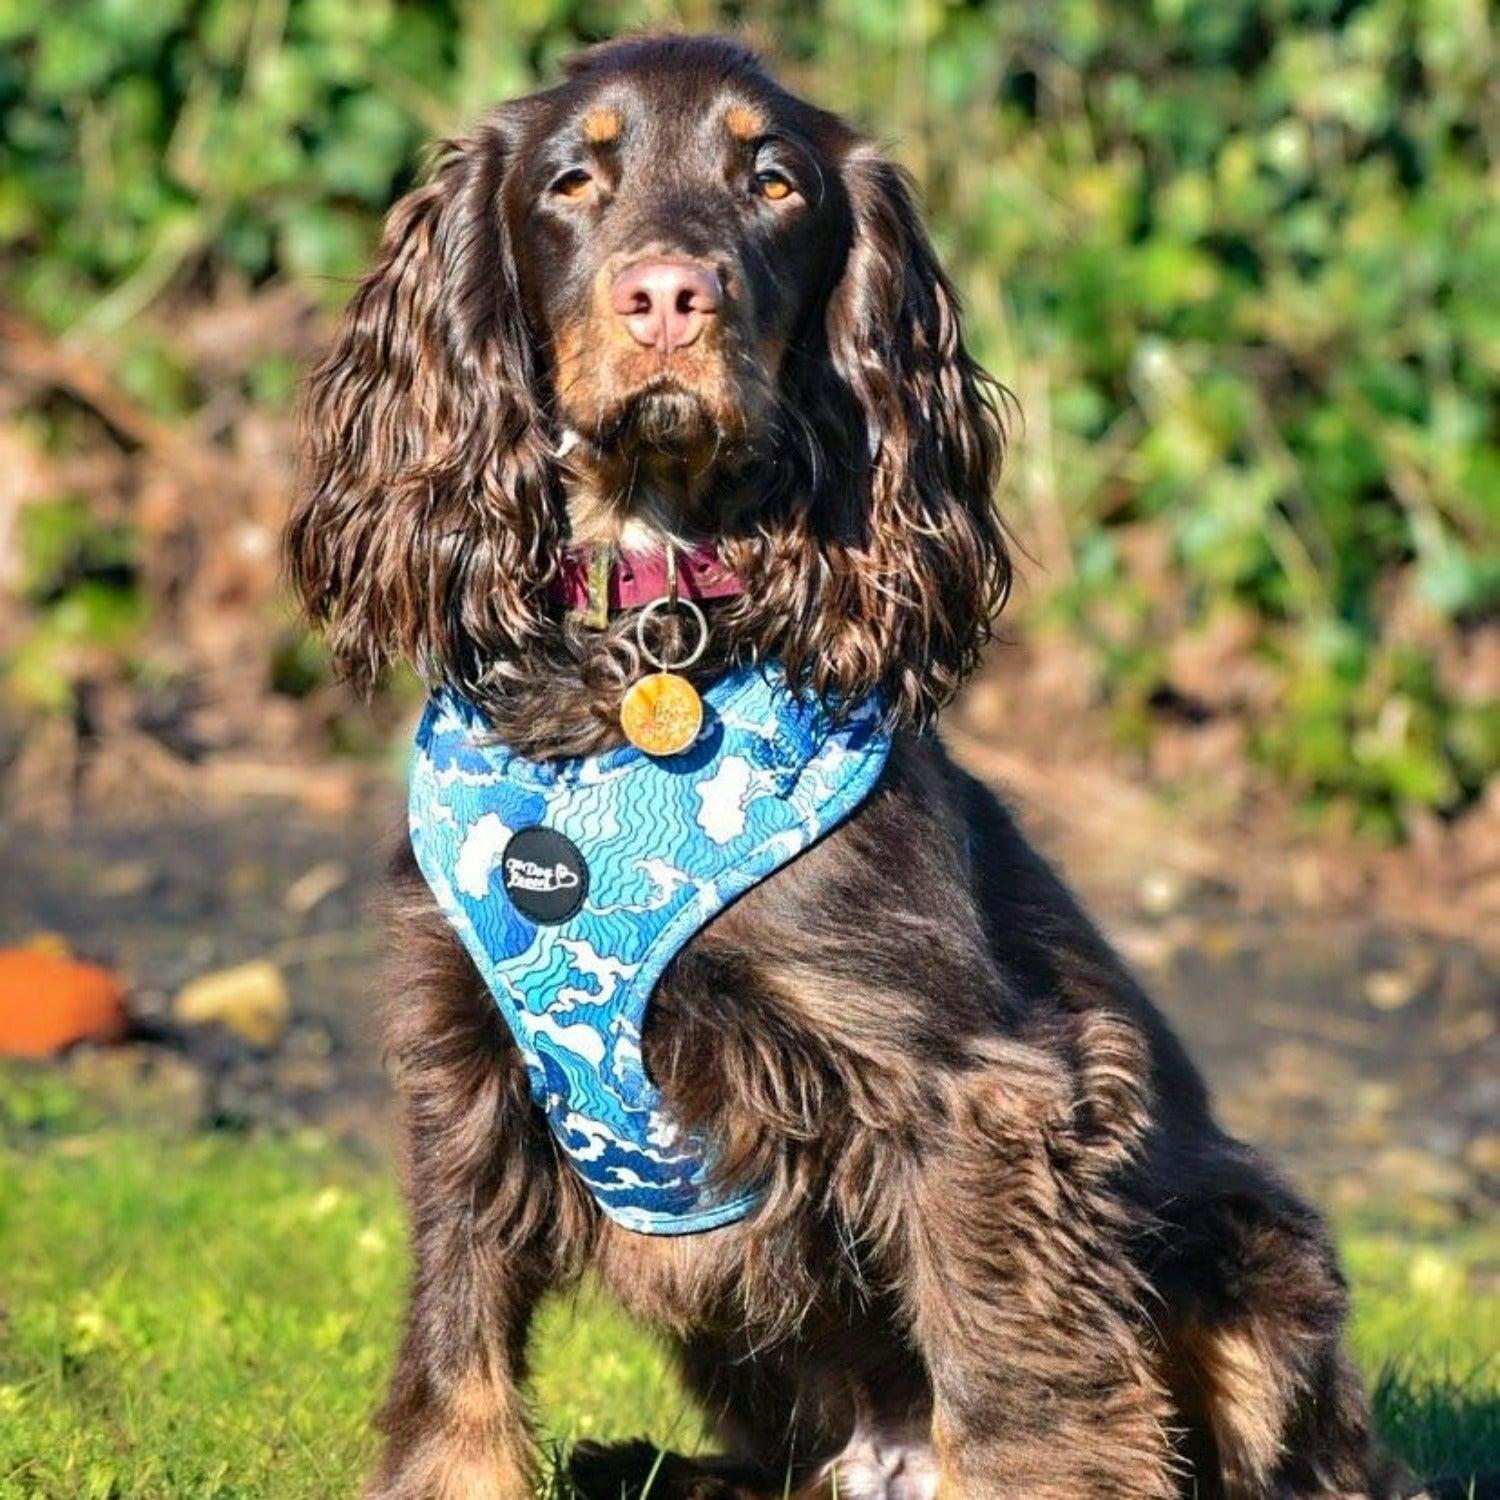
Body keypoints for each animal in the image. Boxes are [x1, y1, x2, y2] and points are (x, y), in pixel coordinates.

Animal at [286, 35, 1410, 1500]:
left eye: (774, 183)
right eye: (573, 180)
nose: (668, 296)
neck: (646, 641)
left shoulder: (974, 1090)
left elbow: (1018, 1393)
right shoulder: (464, 1059)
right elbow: (453, 1352)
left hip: (1256, 1262)